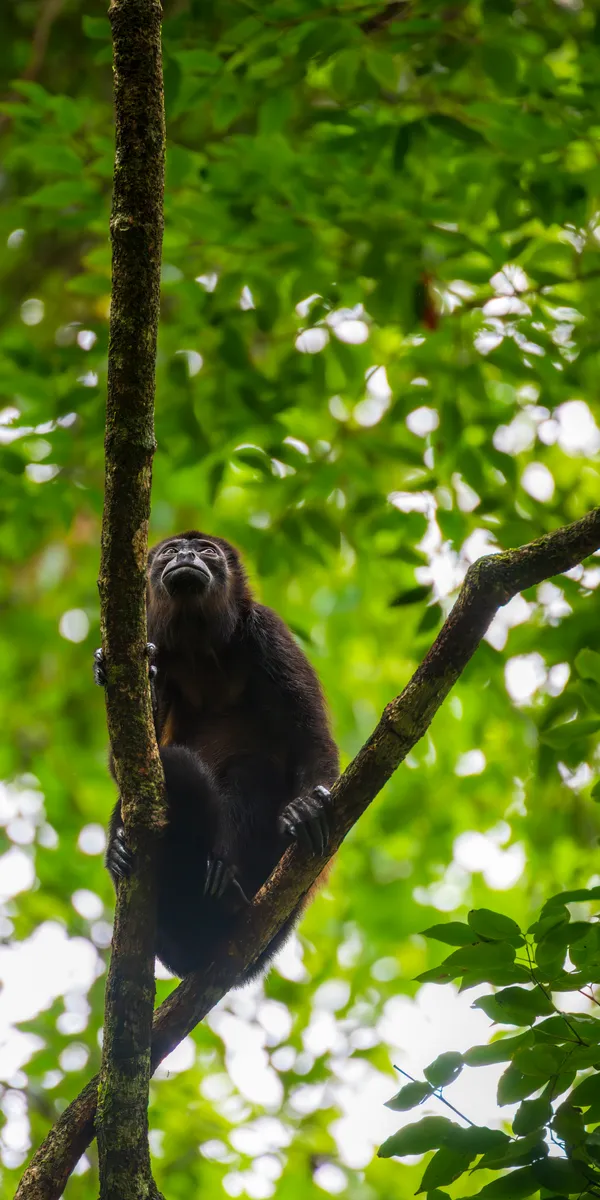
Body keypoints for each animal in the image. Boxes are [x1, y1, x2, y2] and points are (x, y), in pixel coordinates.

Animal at [94, 531, 339, 982]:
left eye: (207, 551)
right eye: (171, 552)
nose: (188, 555)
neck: (199, 646)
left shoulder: (267, 631)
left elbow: (312, 739)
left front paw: (307, 807)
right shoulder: (154, 644)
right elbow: (130, 767)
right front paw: (112, 670)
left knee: (253, 772)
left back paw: (225, 875)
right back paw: (119, 849)